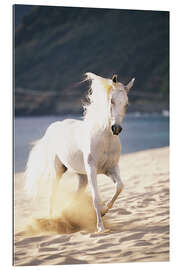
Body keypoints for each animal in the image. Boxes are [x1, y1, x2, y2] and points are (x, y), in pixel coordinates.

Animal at [25, 72, 135, 232]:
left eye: (126, 104)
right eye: (112, 101)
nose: (116, 129)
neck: (105, 139)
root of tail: (53, 126)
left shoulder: (111, 168)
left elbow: (119, 187)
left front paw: (104, 210)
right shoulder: (92, 169)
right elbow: (96, 197)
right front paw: (100, 227)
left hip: (81, 175)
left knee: (76, 194)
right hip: (58, 170)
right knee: (52, 194)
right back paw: (52, 221)